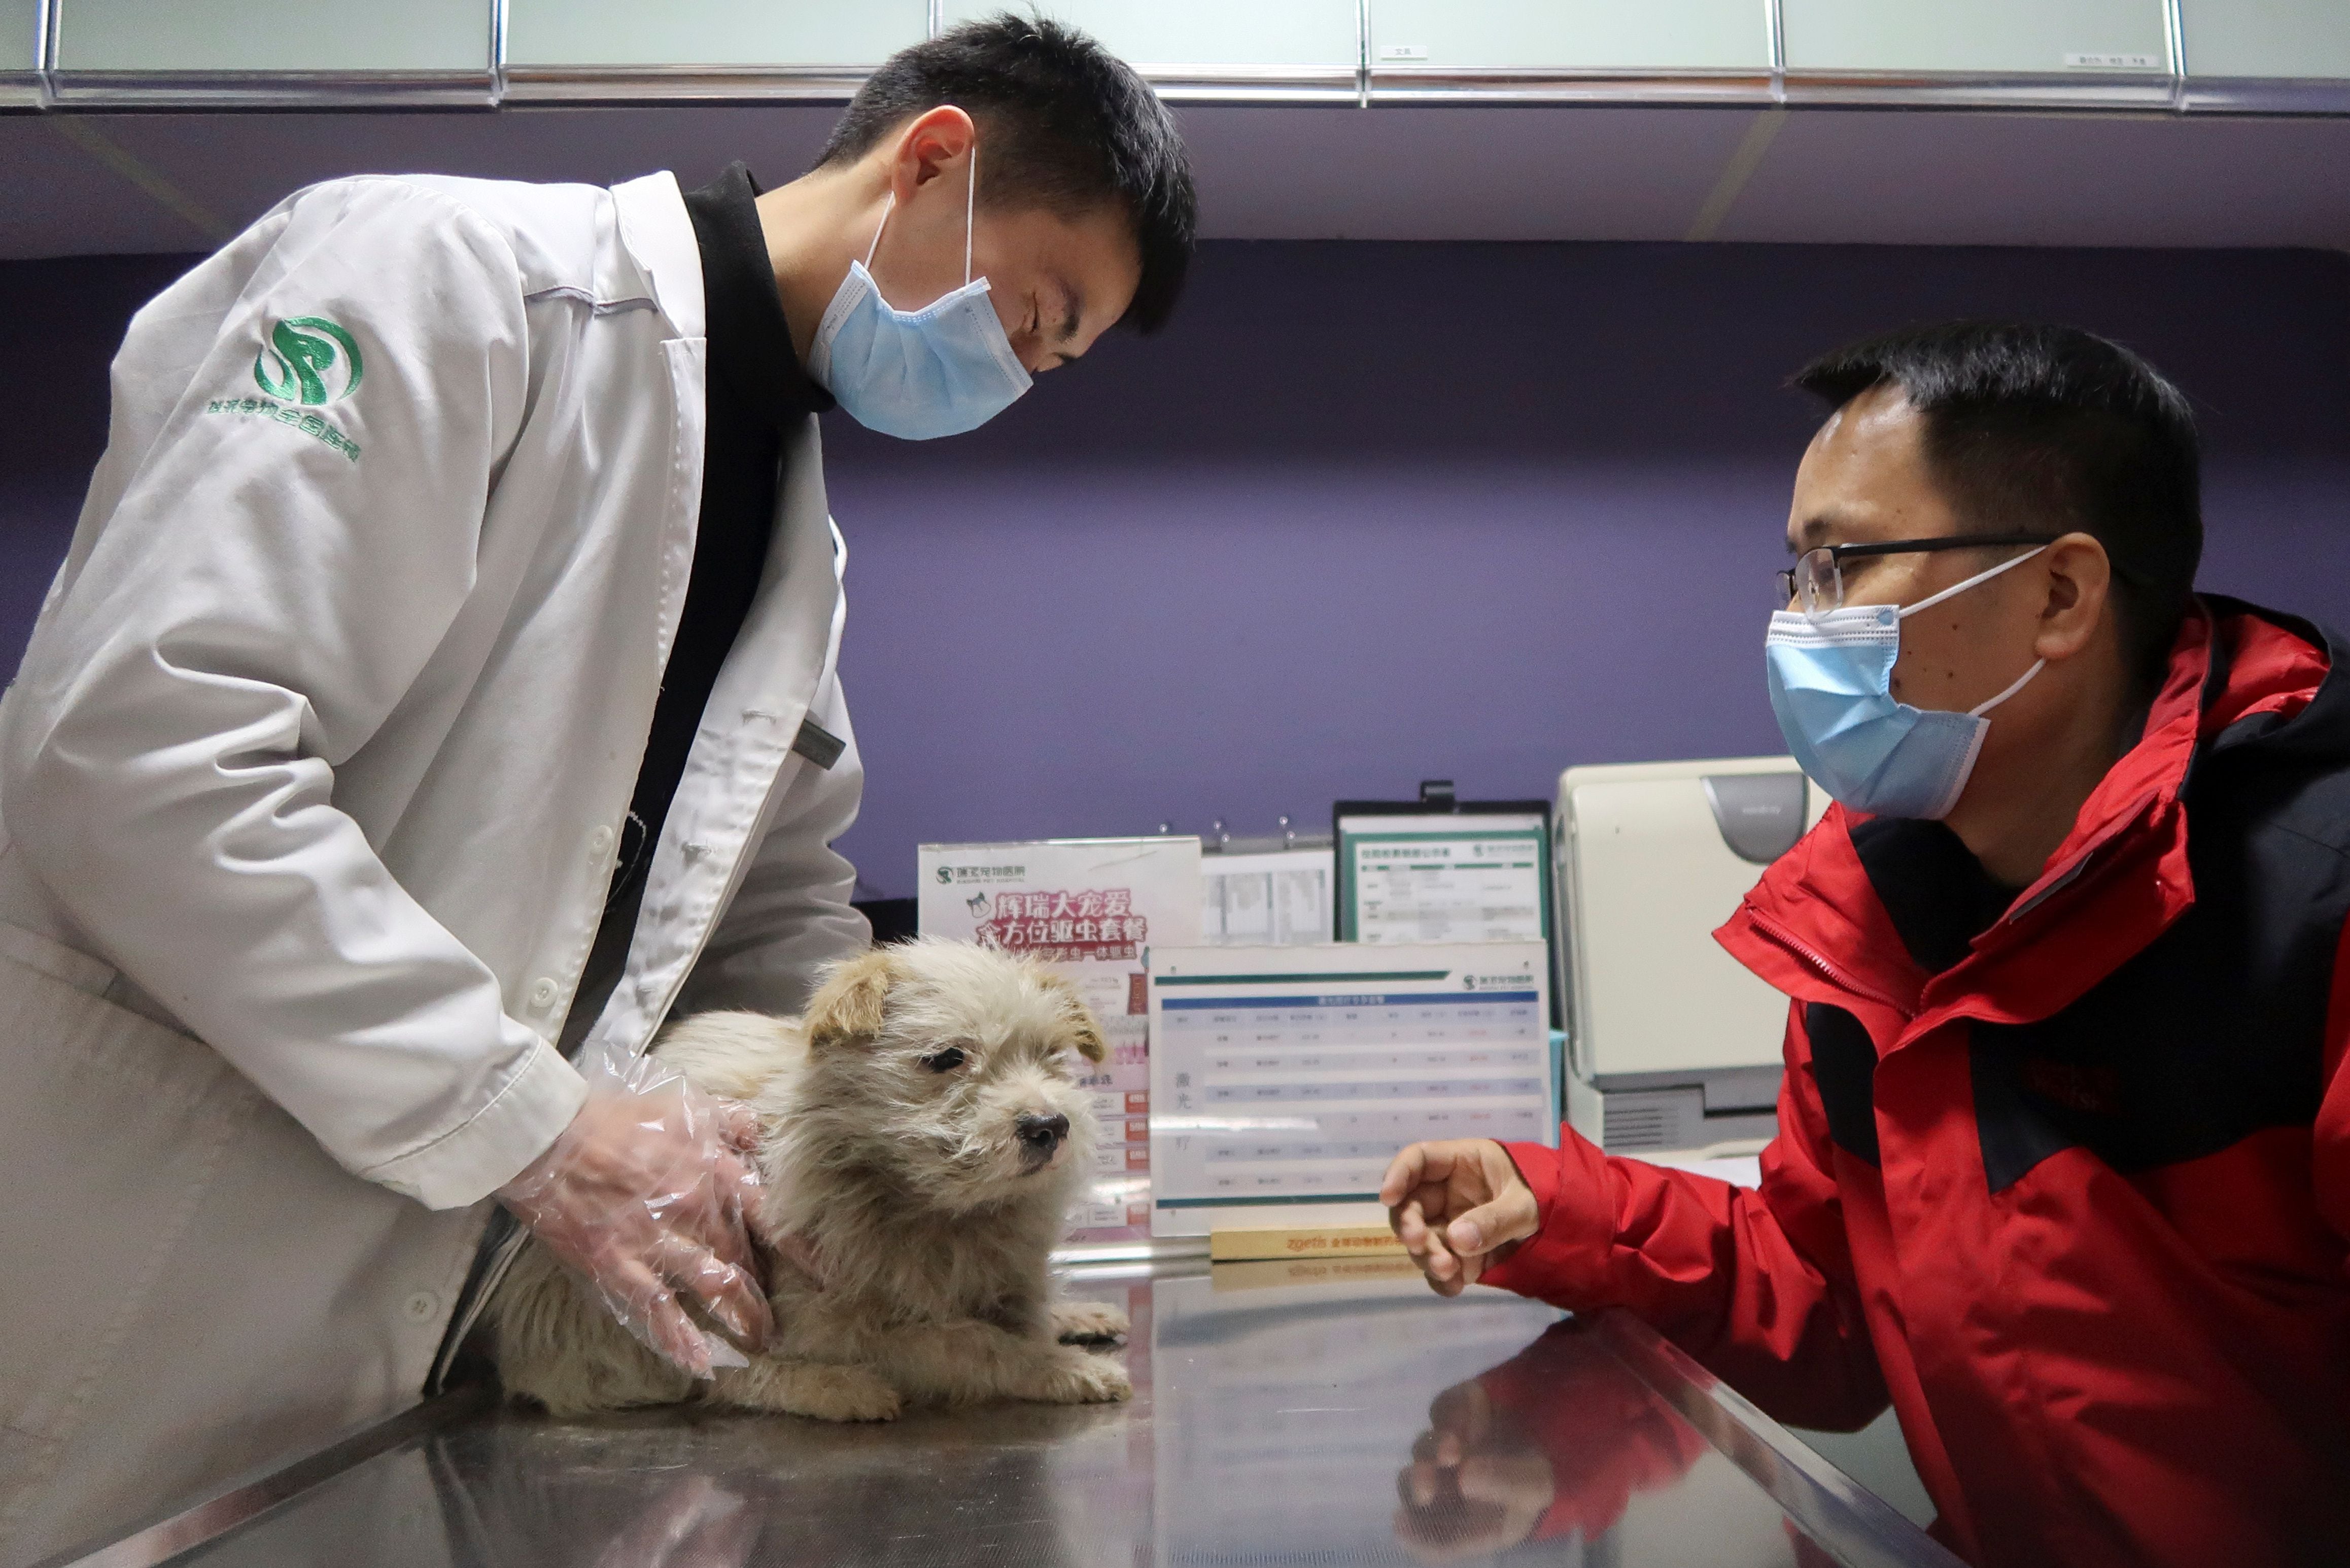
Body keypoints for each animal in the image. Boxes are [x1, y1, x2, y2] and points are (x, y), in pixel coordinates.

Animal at [486, 940, 1128, 1429]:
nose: (1049, 1125)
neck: (929, 1206)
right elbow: (971, 1342)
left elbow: (1021, 1311)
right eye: (947, 1057)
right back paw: (833, 1389)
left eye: (1049, 1056)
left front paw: (1062, 1323)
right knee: (721, 1377)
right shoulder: (838, 1324)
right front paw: (1060, 1367)